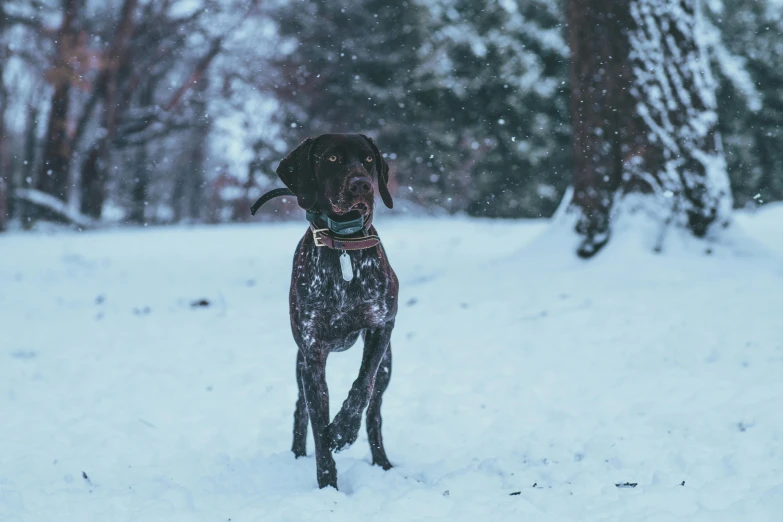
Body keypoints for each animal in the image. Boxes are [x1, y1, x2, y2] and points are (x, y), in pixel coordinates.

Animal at [276, 133, 398, 488]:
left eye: (368, 159)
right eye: (331, 158)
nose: (362, 185)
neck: (344, 244)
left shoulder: (382, 326)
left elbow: (361, 386)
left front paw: (343, 431)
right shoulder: (312, 354)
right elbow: (318, 427)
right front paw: (327, 485)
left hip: (388, 366)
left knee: (374, 412)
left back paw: (382, 463)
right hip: (301, 363)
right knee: (300, 408)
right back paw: (297, 454)